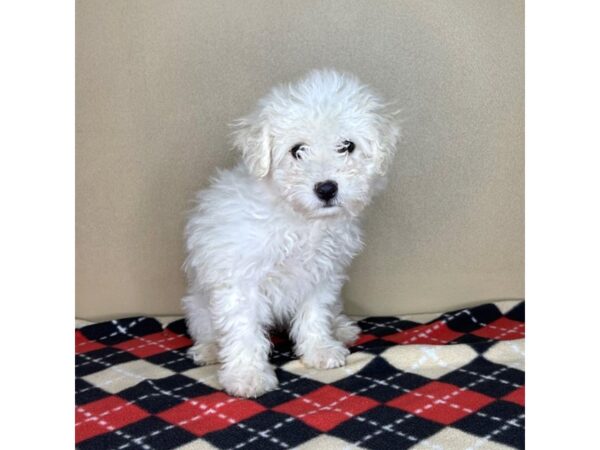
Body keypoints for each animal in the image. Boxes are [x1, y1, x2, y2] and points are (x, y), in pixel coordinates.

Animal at [180, 67, 400, 398]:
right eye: (297, 150)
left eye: (347, 146)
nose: (326, 188)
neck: (300, 219)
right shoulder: (240, 279)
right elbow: (243, 329)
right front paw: (247, 375)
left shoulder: (321, 274)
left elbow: (314, 315)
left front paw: (320, 350)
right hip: (198, 304)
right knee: (207, 327)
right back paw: (209, 349)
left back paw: (341, 328)